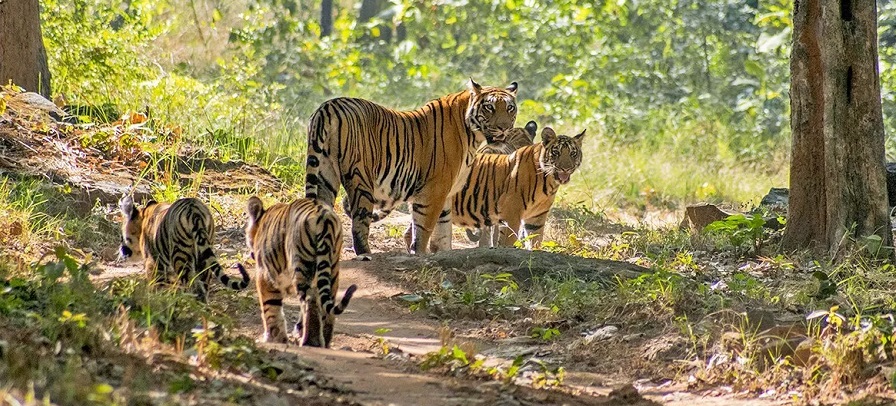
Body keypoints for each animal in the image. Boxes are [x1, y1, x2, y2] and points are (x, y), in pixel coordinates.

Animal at [117, 197, 248, 302]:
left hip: (180, 256)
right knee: (203, 284)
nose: (122, 250)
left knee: (192, 285)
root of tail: (194, 211)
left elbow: (156, 284)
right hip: (204, 255)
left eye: (122, 237)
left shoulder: (153, 262)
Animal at [245, 197, 360, 348]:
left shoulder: (265, 275)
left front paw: (273, 339)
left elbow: (270, 307)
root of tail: (324, 217)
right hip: (332, 268)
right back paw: (324, 342)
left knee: (309, 301)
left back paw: (310, 342)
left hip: (301, 266)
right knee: (326, 304)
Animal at [306, 79, 520, 256]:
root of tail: (329, 106)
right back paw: (365, 254)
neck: (473, 136)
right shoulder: (433, 191)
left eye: (510, 108)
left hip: (325, 174)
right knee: (359, 222)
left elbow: (443, 232)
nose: (504, 128)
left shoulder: (447, 193)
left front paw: (443, 254)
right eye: (489, 107)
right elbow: (424, 229)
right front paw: (419, 254)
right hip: (361, 178)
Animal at [436, 126, 584, 247]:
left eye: (573, 153)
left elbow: (535, 242)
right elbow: (508, 240)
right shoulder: (511, 213)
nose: (565, 168)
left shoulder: (536, 218)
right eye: (556, 153)